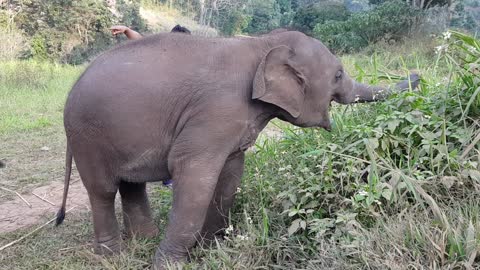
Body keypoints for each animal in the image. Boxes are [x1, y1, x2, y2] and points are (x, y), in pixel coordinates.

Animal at [54, 29, 418, 268]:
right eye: (339, 75)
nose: (415, 74)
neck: (263, 43)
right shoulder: (215, 113)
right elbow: (194, 174)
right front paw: (169, 264)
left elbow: (231, 174)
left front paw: (211, 248)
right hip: (87, 134)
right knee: (103, 190)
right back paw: (110, 255)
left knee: (131, 185)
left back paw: (143, 240)